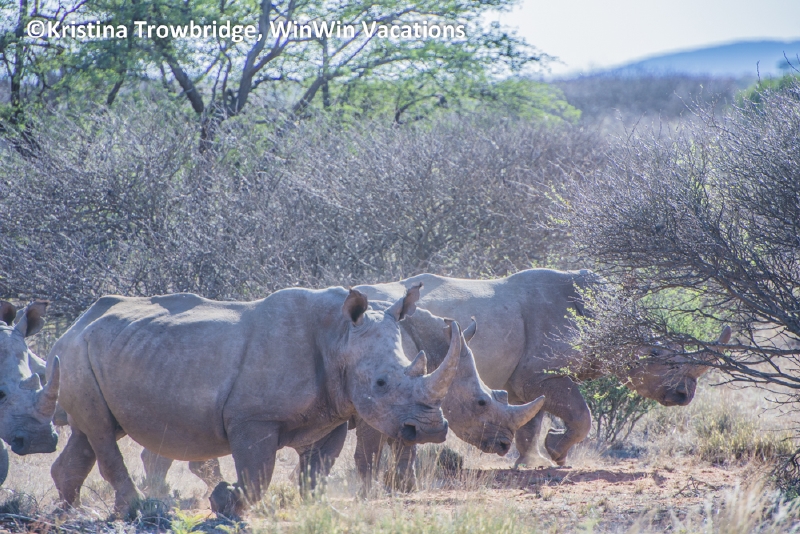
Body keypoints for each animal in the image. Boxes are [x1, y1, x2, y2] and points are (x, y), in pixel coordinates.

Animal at [48, 286, 462, 517]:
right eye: (380, 383)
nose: (431, 430)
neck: (339, 336)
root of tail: (75, 324)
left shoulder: (330, 414)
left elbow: (315, 473)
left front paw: (316, 509)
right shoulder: (253, 417)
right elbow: (258, 475)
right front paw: (225, 502)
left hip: (98, 351)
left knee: (91, 432)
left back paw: (70, 511)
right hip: (75, 352)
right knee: (102, 433)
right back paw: (136, 510)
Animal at [138, 305, 545, 493]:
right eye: (481, 403)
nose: (503, 445)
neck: (436, 347)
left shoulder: (406, 401)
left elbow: (403, 444)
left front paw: (404, 486)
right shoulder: (381, 400)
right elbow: (374, 450)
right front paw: (373, 489)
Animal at [355, 269, 732, 467]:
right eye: (655, 354)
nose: (684, 394)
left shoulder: (522, 380)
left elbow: (529, 420)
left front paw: (530, 462)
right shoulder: (541, 373)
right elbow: (580, 415)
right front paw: (557, 455)